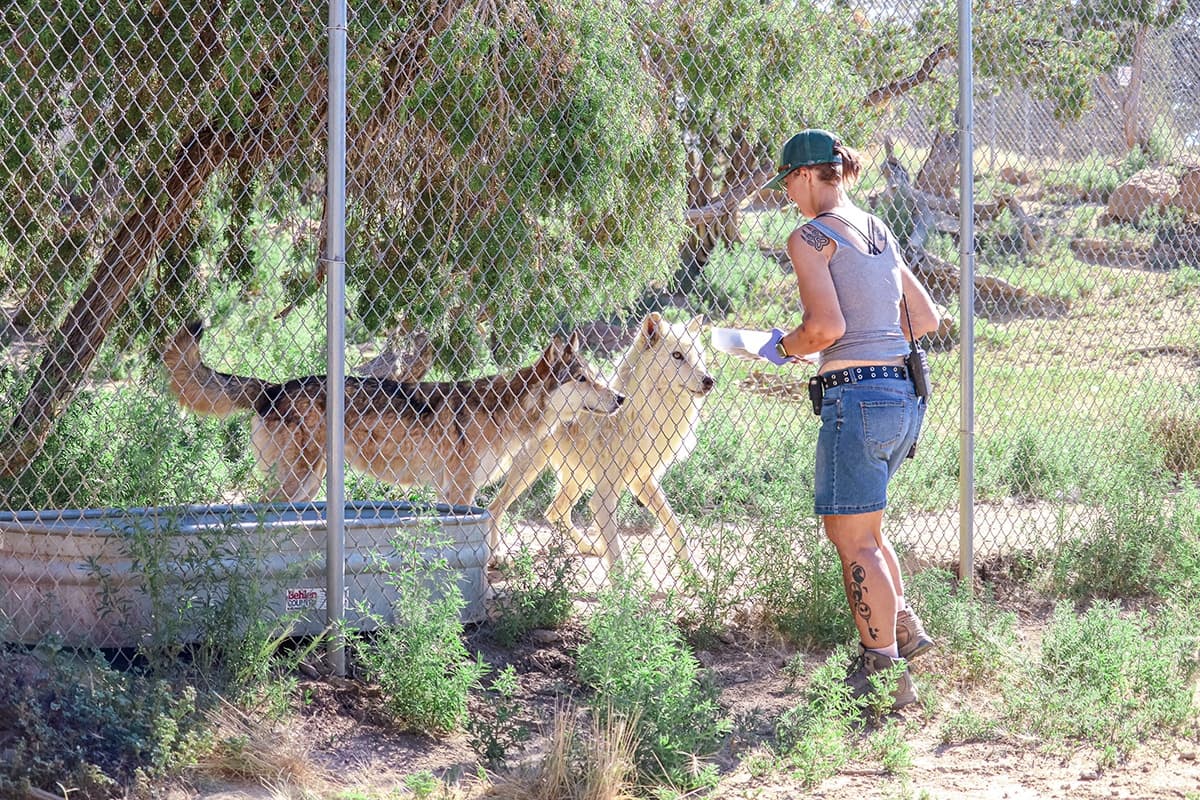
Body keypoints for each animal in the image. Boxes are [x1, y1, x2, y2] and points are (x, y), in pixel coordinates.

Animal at [163, 322, 623, 505]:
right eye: (583, 378)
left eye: (597, 376)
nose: (620, 398)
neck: (503, 412)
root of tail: (273, 387)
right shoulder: (461, 494)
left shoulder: (449, 496)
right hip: (296, 480)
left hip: (309, 483)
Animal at [487, 312, 715, 569]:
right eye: (677, 355)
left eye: (699, 357)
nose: (709, 380)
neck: (639, 416)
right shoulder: (604, 496)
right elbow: (617, 556)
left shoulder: (643, 481)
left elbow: (677, 528)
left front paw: (695, 572)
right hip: (529, 472)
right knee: (495, 508)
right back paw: (496, 555)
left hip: (576, 479)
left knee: (554, 511)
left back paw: (591, 547)